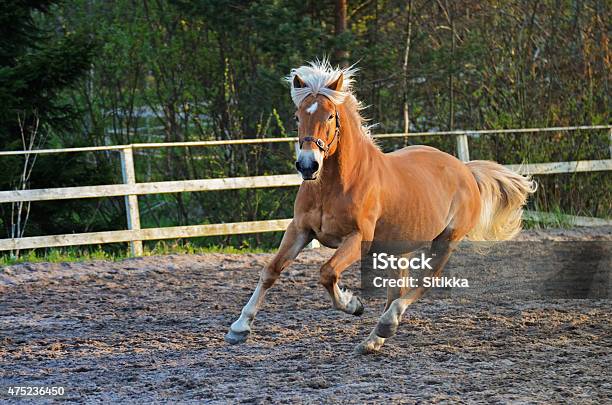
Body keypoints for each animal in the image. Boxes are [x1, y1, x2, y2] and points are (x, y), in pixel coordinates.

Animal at [226, 60, 536, 354]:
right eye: (297, 116)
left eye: (330, 115)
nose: (307, 165)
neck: (336, 184)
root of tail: (465, 170)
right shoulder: (300, 230)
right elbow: (271, 270)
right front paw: (239, 328)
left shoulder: (358, 239)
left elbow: (327, 272)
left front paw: (353, 304)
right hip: (400, 249)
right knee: (396, 290)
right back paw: (373, 340)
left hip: (445, 241)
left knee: (423, 283)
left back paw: (387, 324)